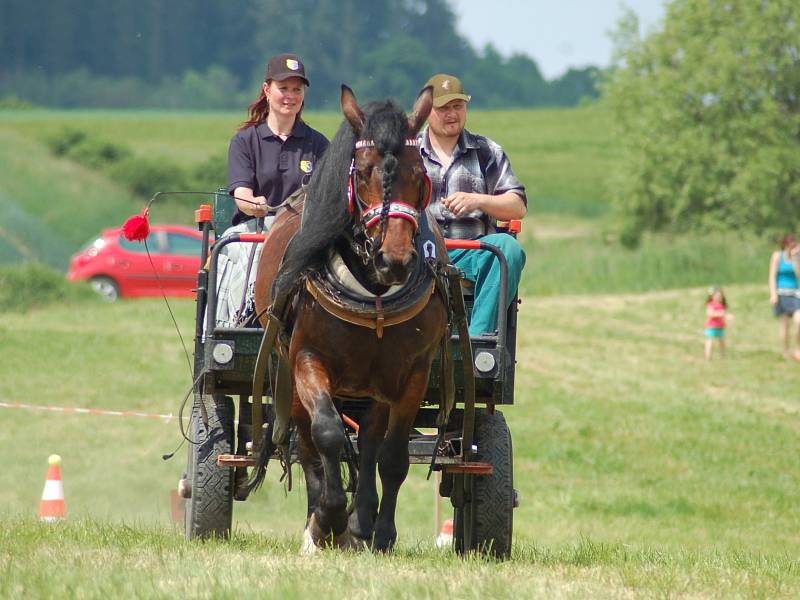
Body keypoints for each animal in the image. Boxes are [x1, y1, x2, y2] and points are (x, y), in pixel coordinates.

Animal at [253, 84, 446, 552]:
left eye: (420, 175)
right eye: (362, 174)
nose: (394, 260)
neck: (373, 294)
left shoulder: (412, 374)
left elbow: (392, 457)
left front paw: (379, 531)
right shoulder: (307, 359)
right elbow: (328, 435)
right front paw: (328, 519)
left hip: (373, 388)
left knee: (371, 441)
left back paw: (361, 522)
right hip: (290, 374)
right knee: (308, 445)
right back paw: (319, 522)